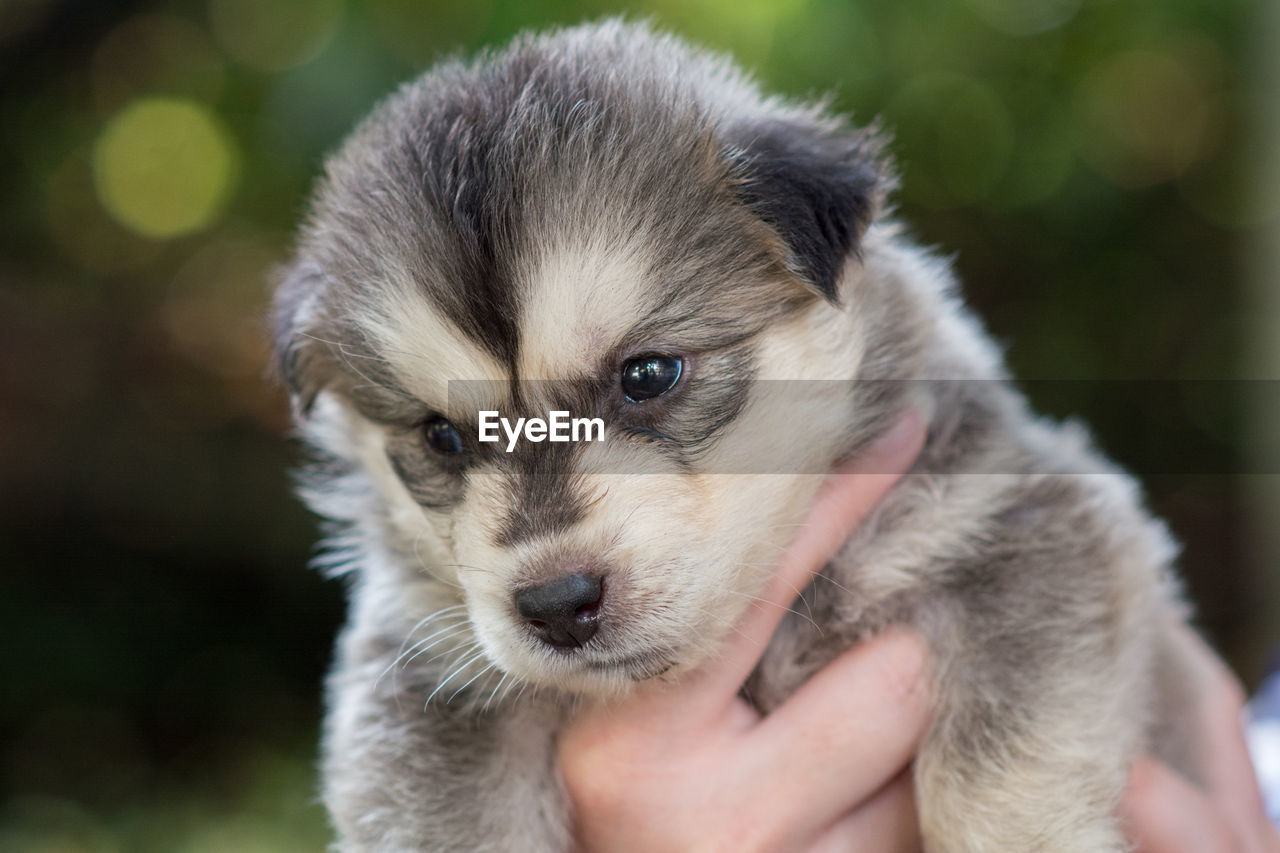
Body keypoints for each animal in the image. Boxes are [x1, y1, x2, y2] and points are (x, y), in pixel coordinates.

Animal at [270, 19, 1198, 850]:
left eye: (648, 373)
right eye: (441, 438)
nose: (556, 603)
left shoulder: (1021, 531)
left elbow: (994, 772)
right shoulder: (424, 687)